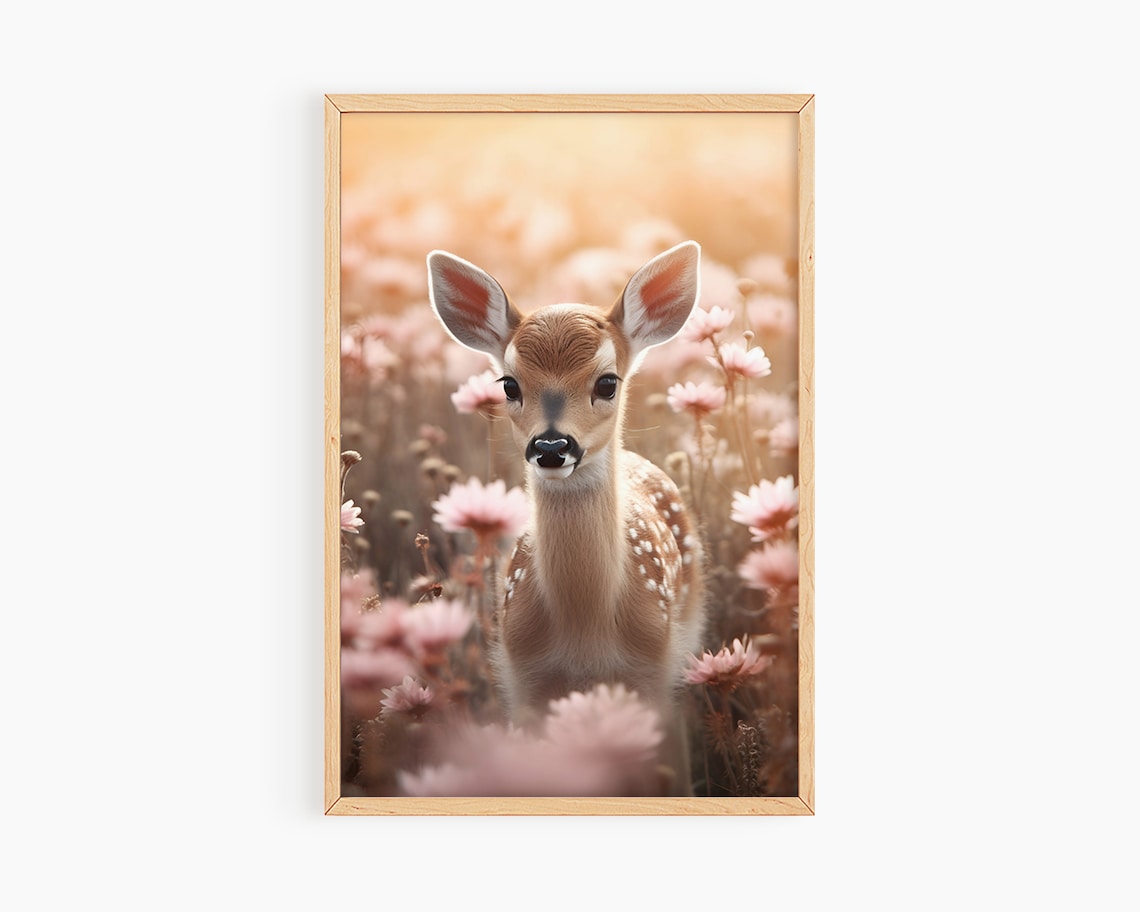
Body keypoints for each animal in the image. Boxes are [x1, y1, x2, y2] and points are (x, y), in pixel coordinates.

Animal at [427, 241, 707, 793]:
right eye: (509, 384)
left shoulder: (653, 667)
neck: (586, 633)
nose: (552, 446)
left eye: (608, 382)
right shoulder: (523, 677)